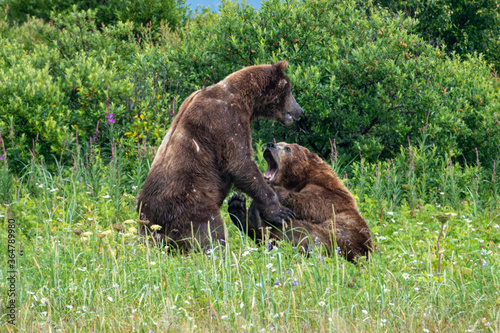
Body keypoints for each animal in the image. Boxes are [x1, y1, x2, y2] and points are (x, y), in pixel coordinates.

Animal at [135, 61, 302, 249]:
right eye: (290, 89)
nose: (300, 110)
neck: (245, 100)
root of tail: (148, 219)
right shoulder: (225, 120)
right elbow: (239, 162)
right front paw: (280, 211)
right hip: (191, 204)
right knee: (211, 232)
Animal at [229, 141, 374, 260]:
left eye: (287, 148)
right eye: (279, 142)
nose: (270, 144)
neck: (299, 179)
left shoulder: (327, 192)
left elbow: (309, 204)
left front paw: (274, 193)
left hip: (342, 237)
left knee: (302, 234)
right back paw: (237, 205)